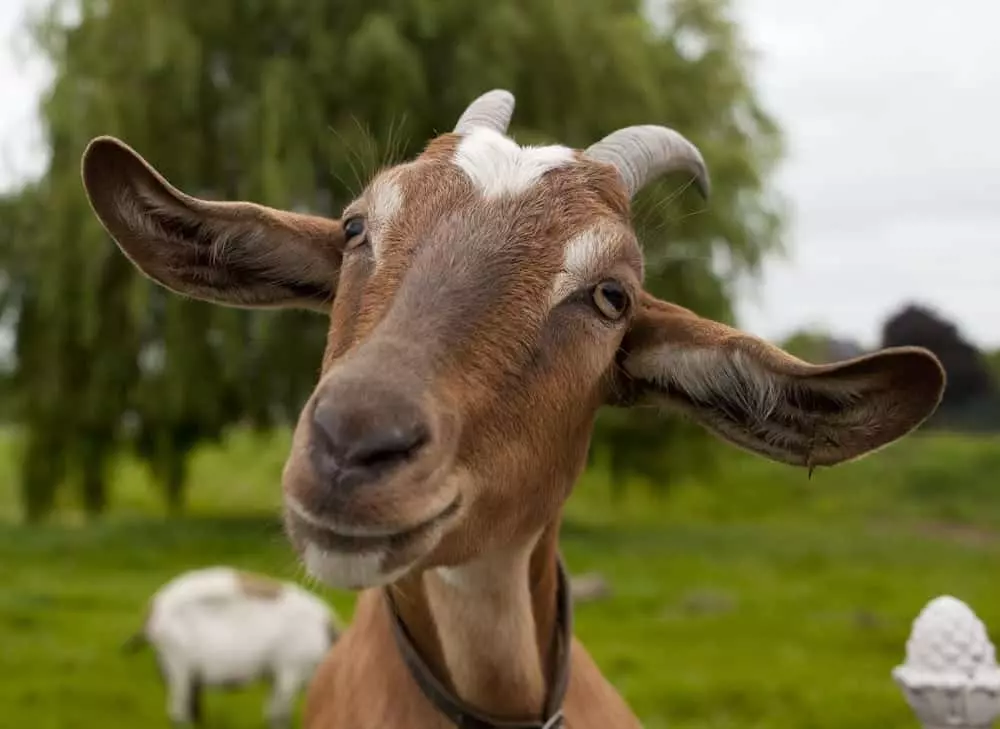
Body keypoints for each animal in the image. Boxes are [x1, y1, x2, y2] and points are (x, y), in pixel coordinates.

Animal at [124, 564, 340, 724]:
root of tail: (152, 611)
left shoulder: (277, 675)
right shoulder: (290, 670)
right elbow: (278, 716)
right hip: (177, 660)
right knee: (178, 710)